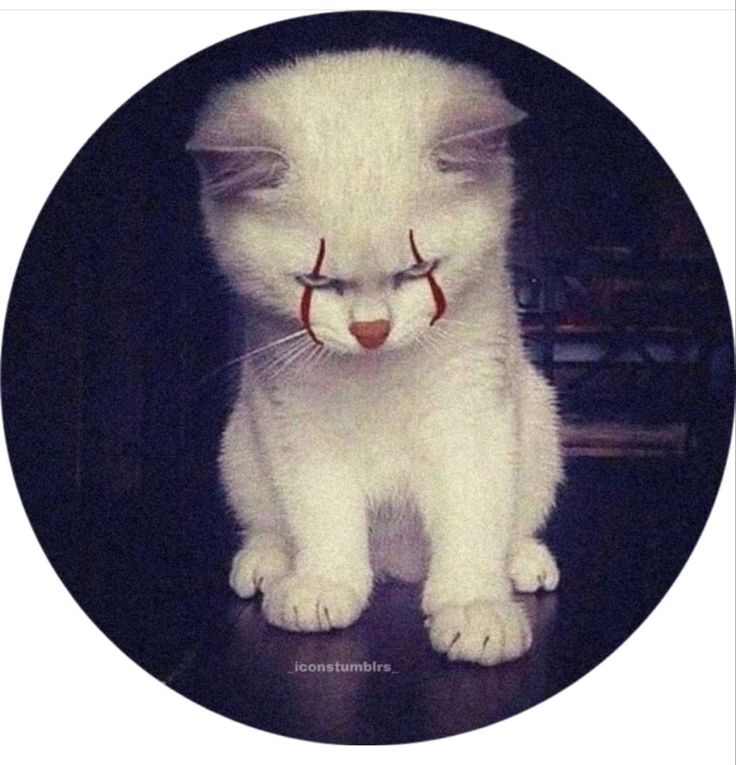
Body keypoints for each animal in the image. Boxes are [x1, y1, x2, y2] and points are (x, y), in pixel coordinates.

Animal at [187, 50, 560, 664]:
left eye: (418, 270)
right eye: (316, 281)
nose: (370, 331)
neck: (378, 373)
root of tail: (399, 568)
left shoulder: (470, 418)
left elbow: (472, 519)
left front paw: (474, 606)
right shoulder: (299, 421)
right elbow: (323, 514)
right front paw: (325, 583)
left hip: (538, 421)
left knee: (514, 522)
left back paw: (522, 561)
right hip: (240, 442)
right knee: (268, 523)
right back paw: (268, 563)